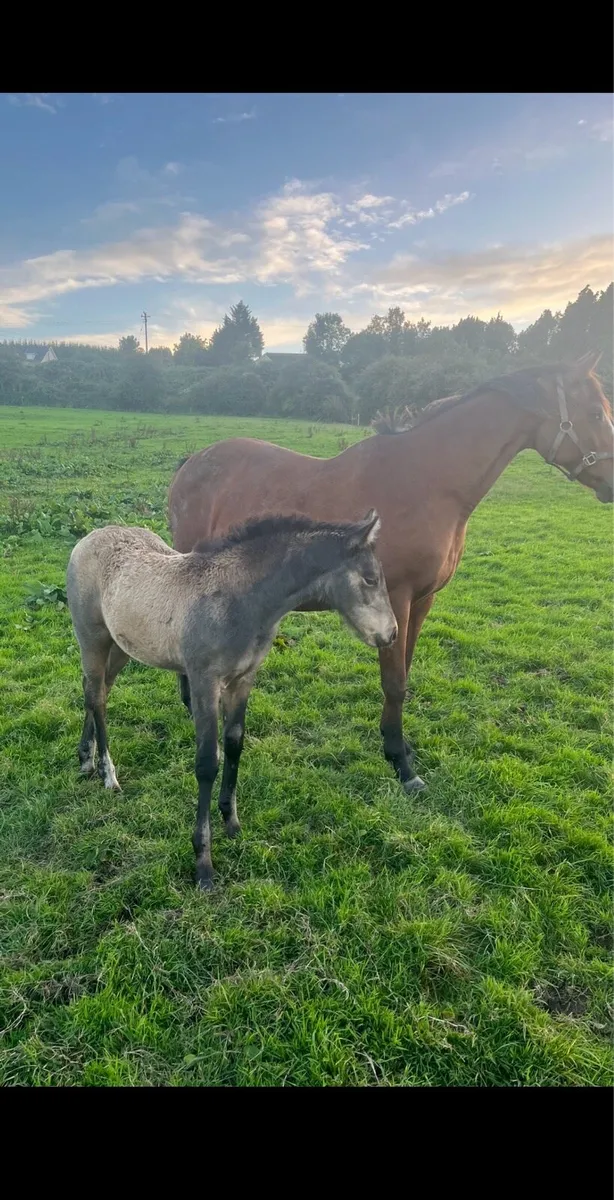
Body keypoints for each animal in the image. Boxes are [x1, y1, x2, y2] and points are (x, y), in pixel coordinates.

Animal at [66, 511, 397, 889]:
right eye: (371, 579)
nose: (391, 633)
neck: (238, 600)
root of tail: (89, 537)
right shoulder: (204, 683)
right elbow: (208, 762)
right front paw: (204, 863)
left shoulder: (243, 680)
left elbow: (235, 743)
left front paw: (232, 822)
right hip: (93, 639)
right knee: (97, 696)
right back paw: (107, 773)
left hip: (122, 646)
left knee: (96, 691)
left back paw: (86, 757)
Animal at [168, 352, 613, 794]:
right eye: (595, 412)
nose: (611, 481)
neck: (429, 483)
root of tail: (192, 462)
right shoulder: (394, 599)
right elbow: (394, 681)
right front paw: (403, 765)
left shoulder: (422, 600)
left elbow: (405, 673)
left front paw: (399, 746)